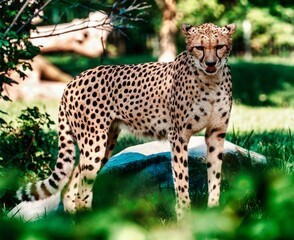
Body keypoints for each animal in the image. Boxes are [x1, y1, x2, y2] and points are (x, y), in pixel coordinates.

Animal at [16, 22, 237, 219]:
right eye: (199, 48)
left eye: (219, 46)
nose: (211, 63)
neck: (211, 81)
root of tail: (74, 80)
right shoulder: (179, 136)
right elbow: (182, 181)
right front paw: (185, 217)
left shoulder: (216, 133)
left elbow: (215, 175)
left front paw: (213, 212)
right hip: (94, 142)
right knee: (82, 188)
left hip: (106, 141)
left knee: (75, 179)